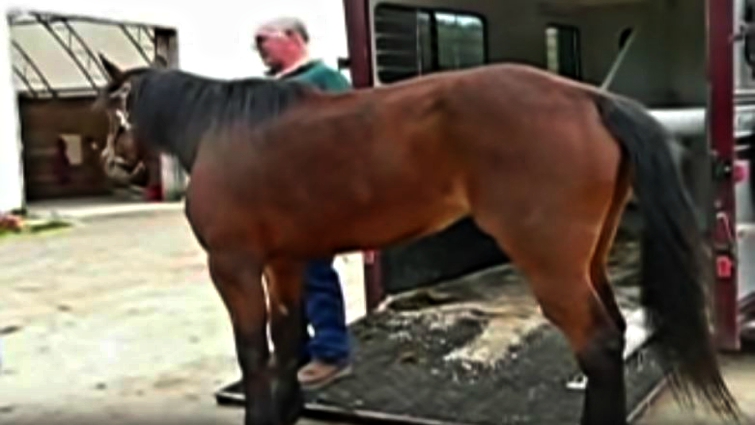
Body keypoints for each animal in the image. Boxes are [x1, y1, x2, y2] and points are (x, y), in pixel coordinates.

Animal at [92, 53, 741, 425]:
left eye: (110, 110)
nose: (110, 164)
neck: (224, 130)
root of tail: (590, 98)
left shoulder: (234, 265)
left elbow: (253, 350)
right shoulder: (285, 261)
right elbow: (288, 340)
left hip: (552, 265)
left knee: (600, 344)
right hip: (590, 258)